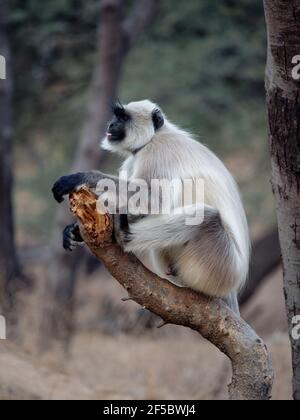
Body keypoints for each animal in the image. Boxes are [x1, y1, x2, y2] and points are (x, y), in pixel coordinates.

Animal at [52, 101, 250, 312]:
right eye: (116, 116)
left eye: (123, 117)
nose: (111, 124)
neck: (156, 135)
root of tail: (233, 286)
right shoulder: (136, 158)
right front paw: (74, 232)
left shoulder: (158, 151)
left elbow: (155, 198)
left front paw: (81, 177)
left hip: (222, 264)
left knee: (206, 216)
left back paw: (124, 234)